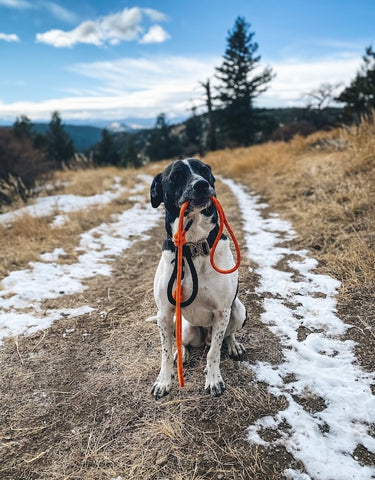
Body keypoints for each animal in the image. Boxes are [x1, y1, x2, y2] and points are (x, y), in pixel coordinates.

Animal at [150, 159, 247, 400]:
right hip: (182, 324)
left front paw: (213, 380)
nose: (202, 185)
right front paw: (163, 381)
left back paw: (233, 346)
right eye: (176, 175)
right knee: (180, 341)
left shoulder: (222, 311)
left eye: (205, 170)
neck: (193, 247)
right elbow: (165, 352)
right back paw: (182, 353)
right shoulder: (164, 313)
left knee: (224, 337)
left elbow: (214, 353)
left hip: (238, 310)